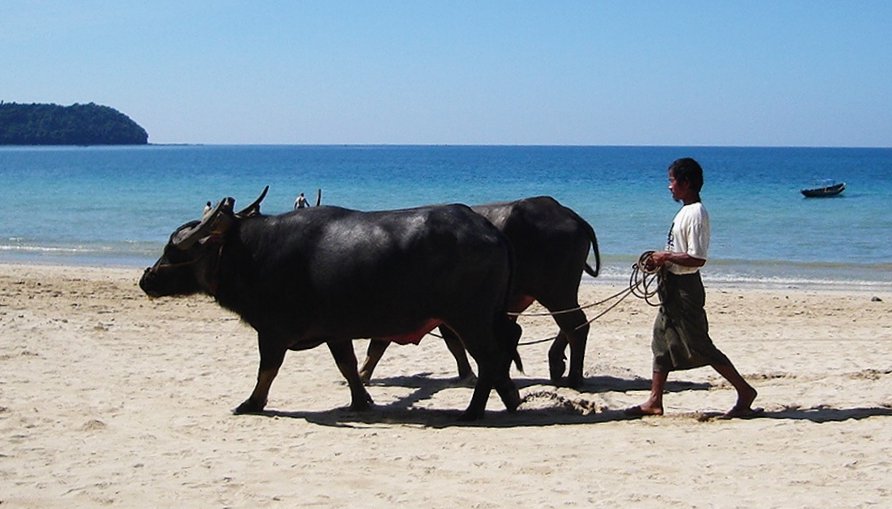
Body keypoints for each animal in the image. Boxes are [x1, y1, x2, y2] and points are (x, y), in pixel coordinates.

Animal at [139, 189, 524, 418]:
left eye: (173, 249)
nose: (146, 279)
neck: (252, 253)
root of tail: (491, 230)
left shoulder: (272, 332)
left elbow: (267, 369)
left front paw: (252, 403)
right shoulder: (336, 332)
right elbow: (348, 366)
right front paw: (360, 401)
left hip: (470, 319)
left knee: (490, 357)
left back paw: (474, 410)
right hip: (487, 318)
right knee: (503, 350)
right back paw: (509, 399)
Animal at [360, 196, 600, 386]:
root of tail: (566, 213)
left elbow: (380, 345)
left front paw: (362, 375)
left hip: (556, 293)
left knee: (575, 326)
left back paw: (573, 378)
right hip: (557, 295)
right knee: (572, 324)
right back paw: (557, 364)